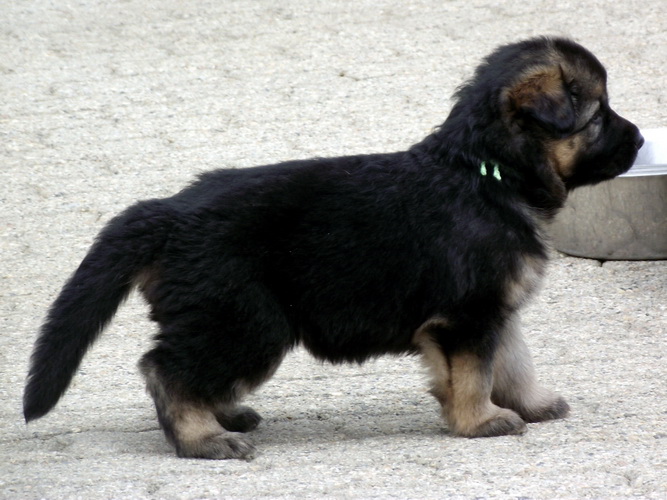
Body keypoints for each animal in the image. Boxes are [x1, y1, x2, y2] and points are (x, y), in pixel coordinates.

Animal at [23, 37, 644, 458]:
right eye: (598, 116)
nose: (639, 138)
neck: (485, 171)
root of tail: (169, 212)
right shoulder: (467, 316)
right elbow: (474, 374)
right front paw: (479, 422)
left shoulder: (495, 311)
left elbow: (512, 363)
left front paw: (530, 404)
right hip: (248, 321)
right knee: (164, 368)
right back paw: (202, 438)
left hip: (229, 323)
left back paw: (225, 415)